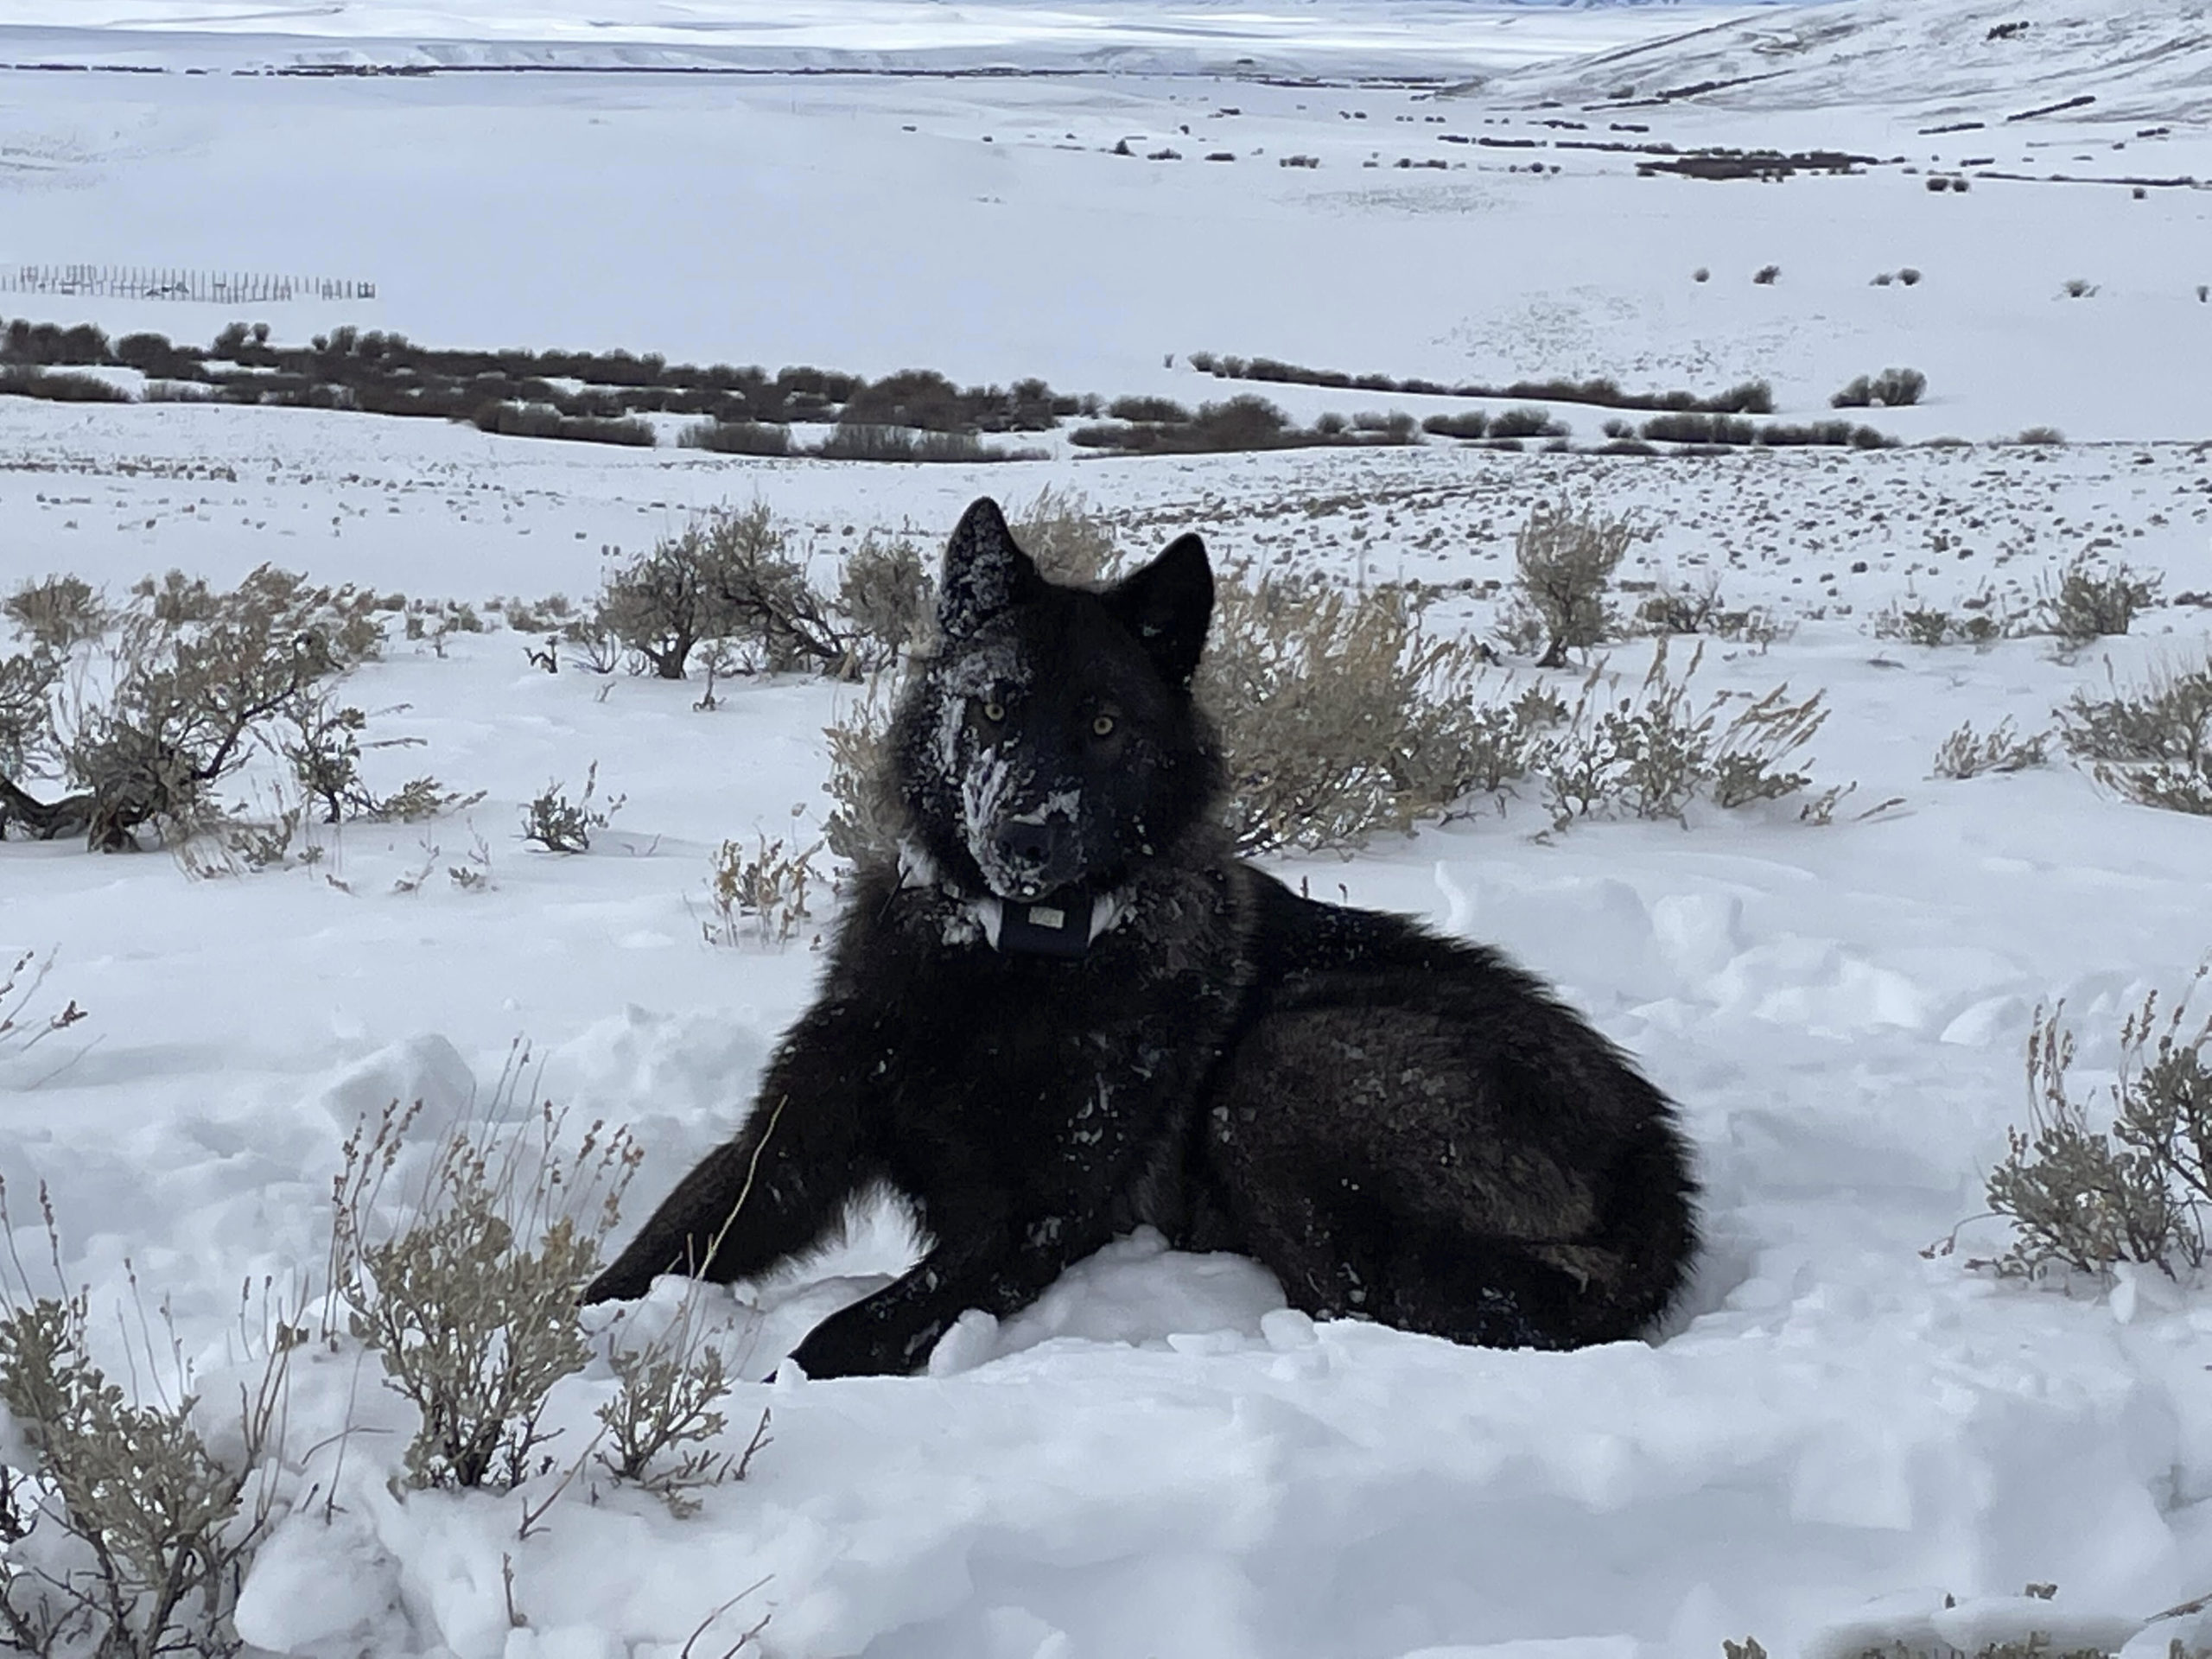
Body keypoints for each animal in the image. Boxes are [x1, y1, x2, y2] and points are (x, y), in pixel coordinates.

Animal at [583, 499, 1689, 1380]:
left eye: (1106, 725)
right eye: (995, 704)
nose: (1024, 836)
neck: (1011, 963)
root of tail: (1656, 1167)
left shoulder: (1031, 1221)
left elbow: (838, 1340)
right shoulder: (792, 1143)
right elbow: (645, 1259)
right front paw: (568, 1349)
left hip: (1287, 1065)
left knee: (1376, 1300)